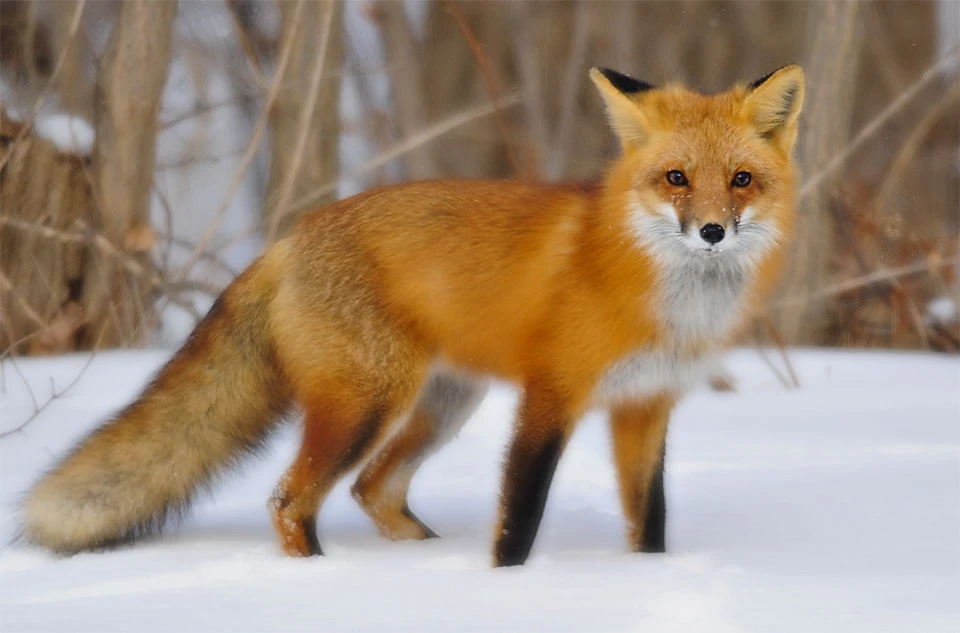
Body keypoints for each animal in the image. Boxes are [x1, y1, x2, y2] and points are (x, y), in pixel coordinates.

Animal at [21, 65, 804, 567]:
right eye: (676, 178)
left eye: (741, 179)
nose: (712, 231)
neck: (663, 295)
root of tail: (289, 237)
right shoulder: (551, 396)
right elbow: (518, 519)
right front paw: (510, 585)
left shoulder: (645, 404)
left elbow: (650, 523)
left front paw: (649, 581)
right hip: (368, 403)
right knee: (289, 500)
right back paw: (321, 577)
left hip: (444, 404)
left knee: (372, 488)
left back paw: (418, 563)